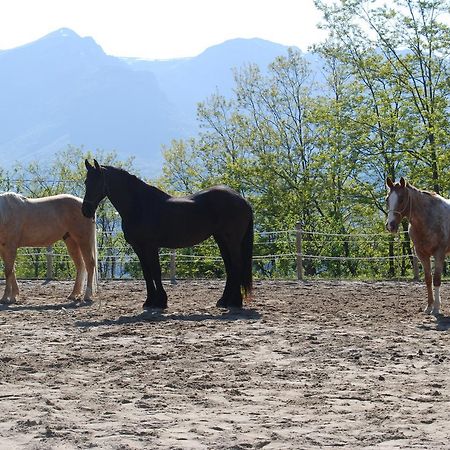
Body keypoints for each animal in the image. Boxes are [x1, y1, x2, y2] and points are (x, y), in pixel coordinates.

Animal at [81, 159, 253, 310]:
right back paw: (224, 300)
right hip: (221, 239)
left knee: (236, 265)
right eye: (86, 182)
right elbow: (147, 273)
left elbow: (155, 272)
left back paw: (235, 302)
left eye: (97, 182)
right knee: (230, 268)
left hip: (232, 241)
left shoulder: (150, 246)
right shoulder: (139, 247)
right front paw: (149, 301)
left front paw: (160, 301)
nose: (86, 210)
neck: (139, 206)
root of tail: (241, 199)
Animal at [384, 178, 450, 314]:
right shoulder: (422, 254)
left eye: (401, 199)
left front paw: (436, 308)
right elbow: (428, 279)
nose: (390, 226)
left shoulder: (439, 254)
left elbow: (437, 279)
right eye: (387, 199)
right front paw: (429, 307)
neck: (429, 218)